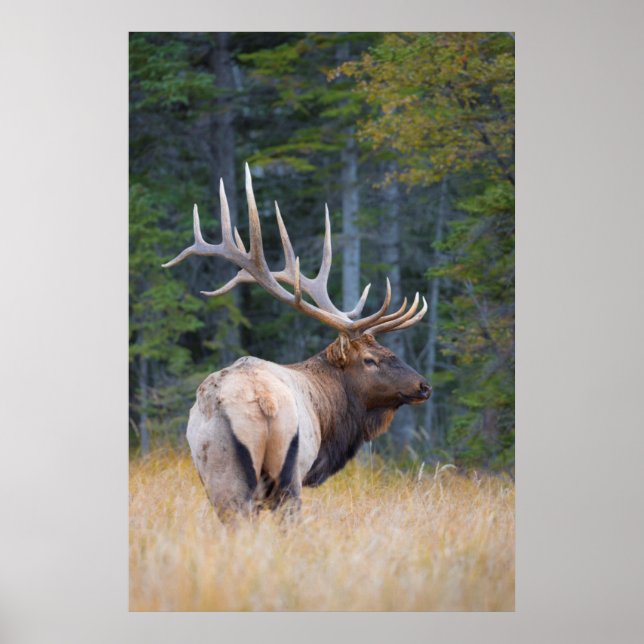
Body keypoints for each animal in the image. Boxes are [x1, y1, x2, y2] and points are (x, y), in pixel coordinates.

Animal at [163, 164, 431, 521]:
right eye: (370, 360)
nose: (423, 385)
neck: (330, 416)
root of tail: (261, 402)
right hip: (283, 473)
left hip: (224, 472)